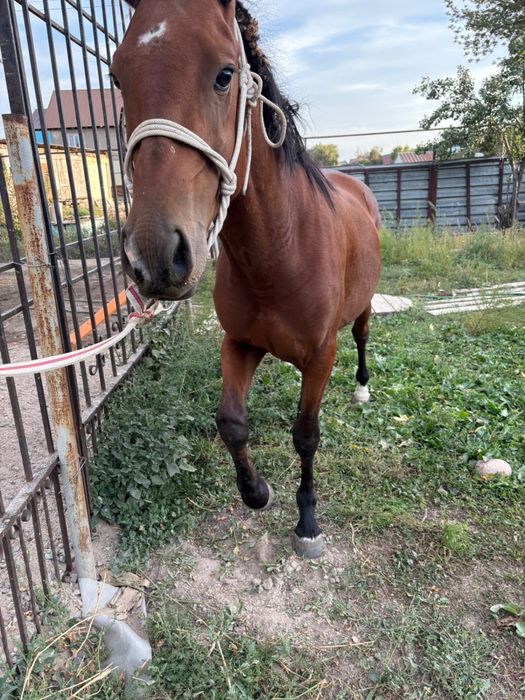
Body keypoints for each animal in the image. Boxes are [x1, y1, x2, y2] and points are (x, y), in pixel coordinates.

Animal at [112, 0, 381, 558]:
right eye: (118, 77)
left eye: (224, 74)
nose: (154, 256)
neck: (280, 249)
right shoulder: (238, 344)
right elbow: (231, 424)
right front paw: (257, 491)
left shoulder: (321, 354)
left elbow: (306, 435)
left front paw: (307, 522)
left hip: (362, 310)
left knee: (364, 337)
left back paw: (363, 389)